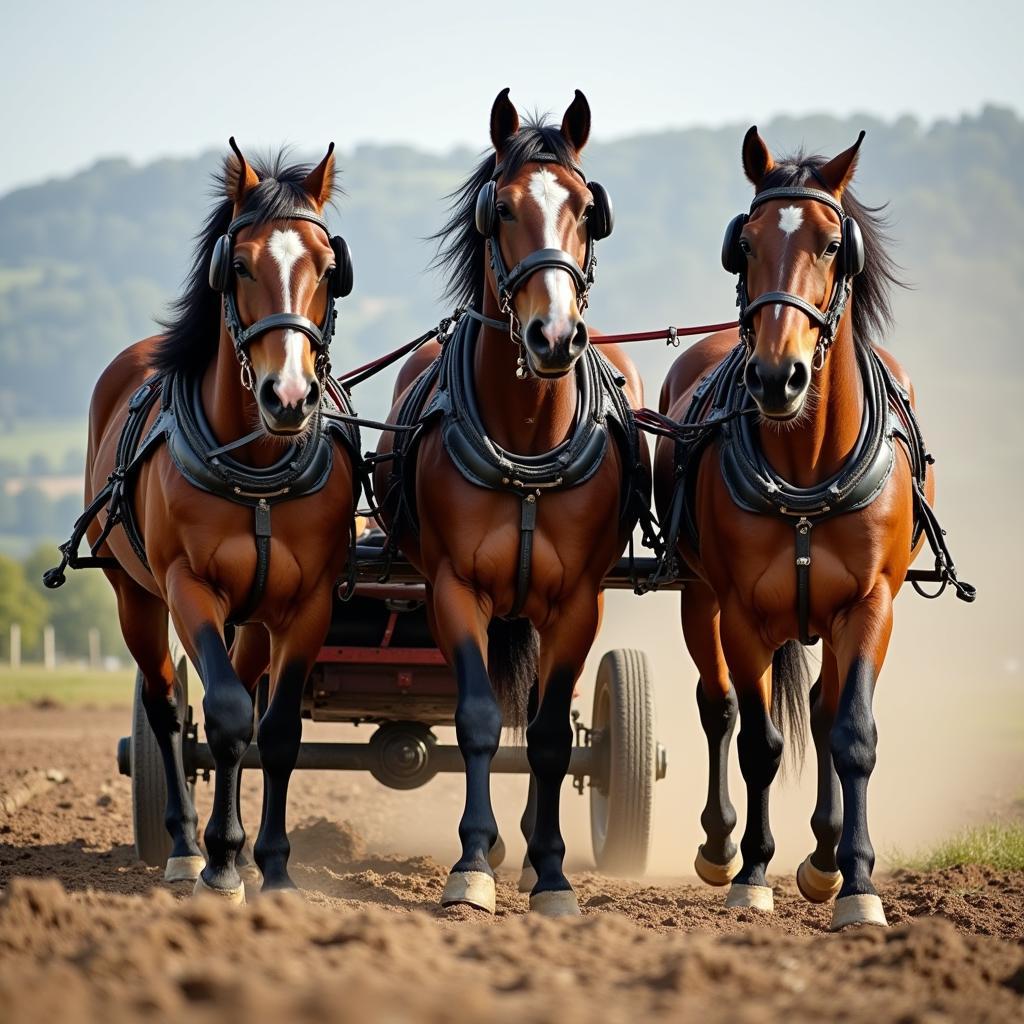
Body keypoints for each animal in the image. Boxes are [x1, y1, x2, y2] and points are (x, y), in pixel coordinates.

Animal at [48, 142, 360, 897]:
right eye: (239, 264)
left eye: (327, 269)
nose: (288, 396)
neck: (258, 463)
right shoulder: (190, 586)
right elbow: (218, 714)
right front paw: (219, 861)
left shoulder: (307, 602)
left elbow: (273, 731)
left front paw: (272, 866)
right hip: (135, 596)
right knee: (167, 707)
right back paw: (188, 845)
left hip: (253, 618)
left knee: (245, 704)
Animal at [376, 90, 647, 921]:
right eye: (501, 208)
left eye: (588, 209)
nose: (553, 335)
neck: (526, 435)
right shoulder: (454, 590)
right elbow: (478, 719)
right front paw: (471, 864)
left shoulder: (580, 602)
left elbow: (554, 736)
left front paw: (552, 872)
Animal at [655, 125, 974, 929]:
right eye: (744, 244)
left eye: (834, 245)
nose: (778, 376)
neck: (805, 467)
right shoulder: (739, 610)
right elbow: (760, 742)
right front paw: (751, 873)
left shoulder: (870, 604)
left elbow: (851, 733)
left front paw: (855, 882)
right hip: (699, 599)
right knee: (719, 708)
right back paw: (721, 845)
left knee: (828, 713)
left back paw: (825, 858)